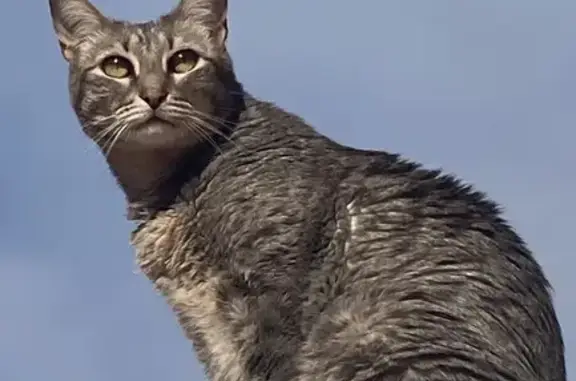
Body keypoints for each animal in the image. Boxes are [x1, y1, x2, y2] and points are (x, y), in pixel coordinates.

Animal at [46, 0, 568, 378]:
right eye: (116, 66)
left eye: (184, 60)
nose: (153, 94)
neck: (173, 185)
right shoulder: (208, 328)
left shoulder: (270, 301)